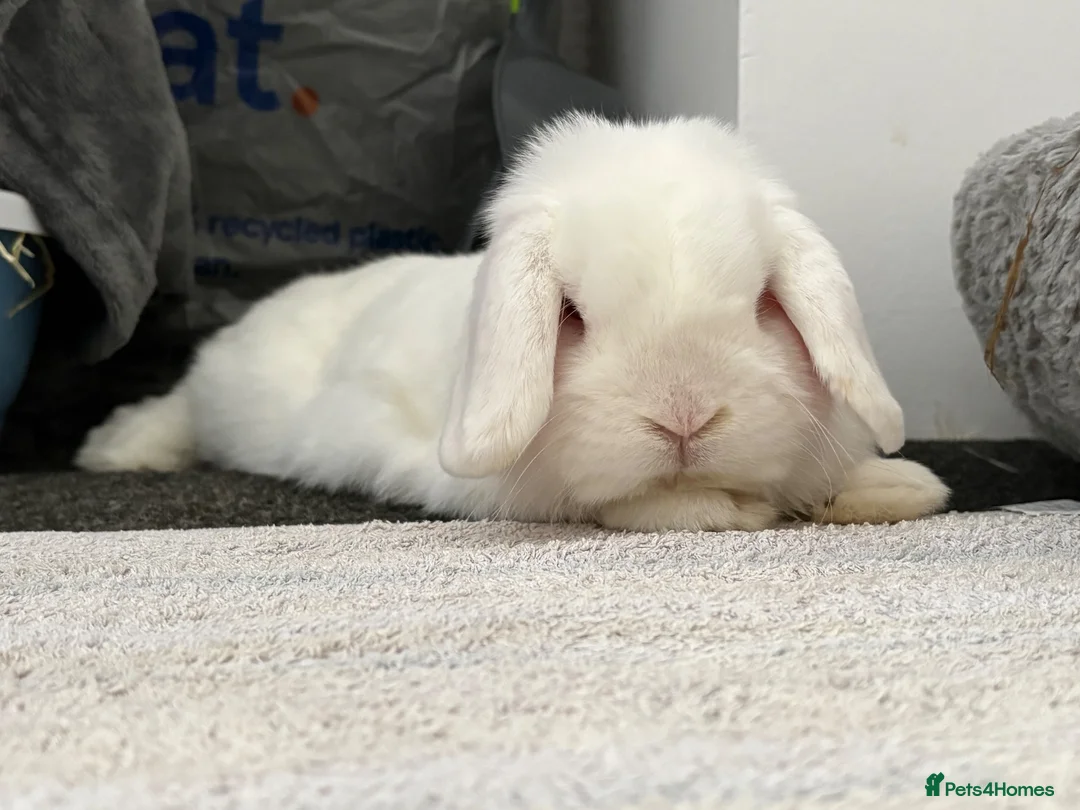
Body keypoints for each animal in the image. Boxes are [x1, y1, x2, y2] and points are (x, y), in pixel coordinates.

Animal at [75, 113, 949, 532]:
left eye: (763, 300)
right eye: (573, 313)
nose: (684, 417)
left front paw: (902, 487)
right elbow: (641, 505)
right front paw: (719, 508)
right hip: (228, 400)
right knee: (176, 409)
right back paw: (116, 450)